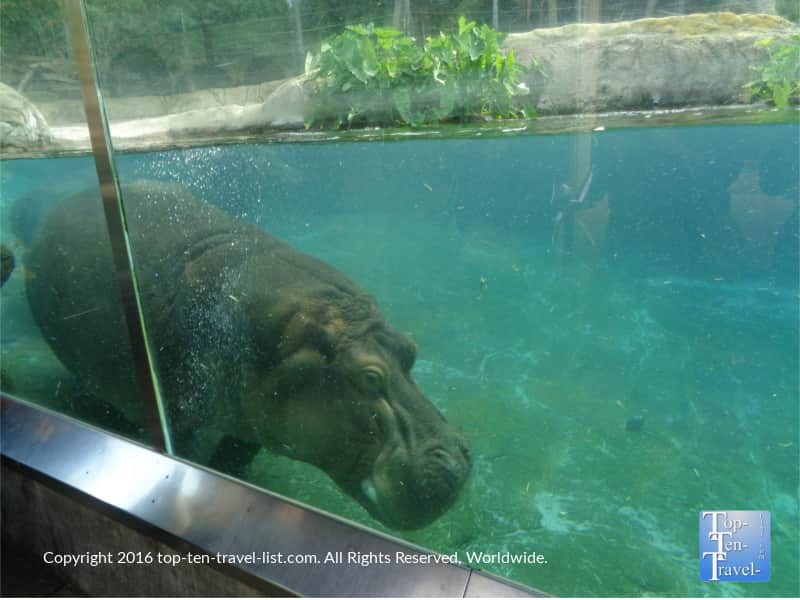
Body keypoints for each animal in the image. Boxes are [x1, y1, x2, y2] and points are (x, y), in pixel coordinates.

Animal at [24, 181, 471, 529]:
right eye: (370, 377)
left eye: (411, 348)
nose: (458, 462)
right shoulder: (179, 410)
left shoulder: (255, 414)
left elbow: (238, 451)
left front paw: (233, 479)